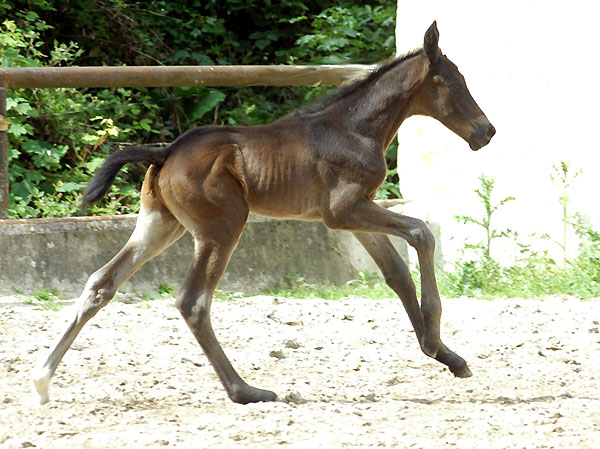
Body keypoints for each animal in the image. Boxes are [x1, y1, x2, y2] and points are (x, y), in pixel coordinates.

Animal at [30, 22, 494, 404]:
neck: (354, 128)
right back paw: (245, 391)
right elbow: (421, 232)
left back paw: (41, 380)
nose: (486, 132)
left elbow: (396, 273)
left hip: (161, 224)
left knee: (101, 283)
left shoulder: (357, 212)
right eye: (455, 83)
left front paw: (448, 356)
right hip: (222, 226)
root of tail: (166, 152)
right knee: (193, 301)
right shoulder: (343, 209)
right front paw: (433, 337)